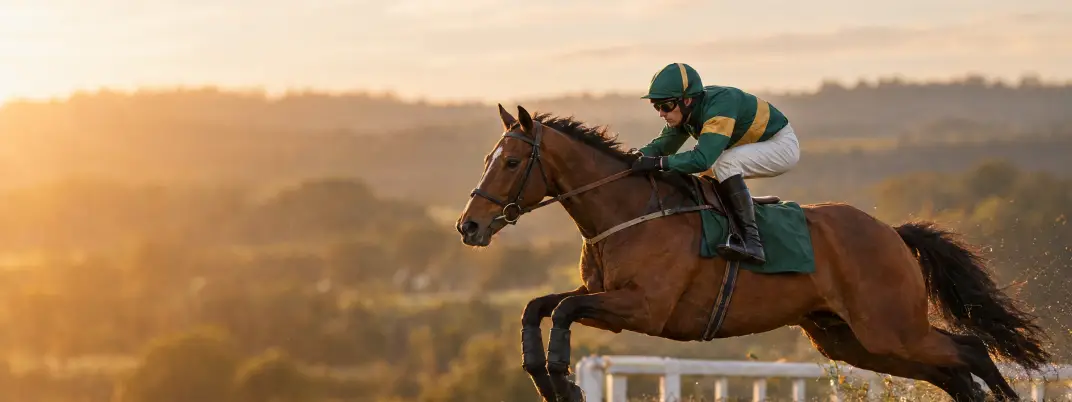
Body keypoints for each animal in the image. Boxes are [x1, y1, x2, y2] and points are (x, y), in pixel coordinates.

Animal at [455, 104, 1051, 402]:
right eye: (487, 158)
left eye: (511, 163)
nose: (469, 225)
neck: (629, 211)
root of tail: (892, 232)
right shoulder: (603, 294)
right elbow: (539, 306)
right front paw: (544, 374)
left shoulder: (643, 308)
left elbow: (562, 311)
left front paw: (563, 378)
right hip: (855, 340)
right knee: (954, 374)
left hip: (891, 328)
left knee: (972, 351)